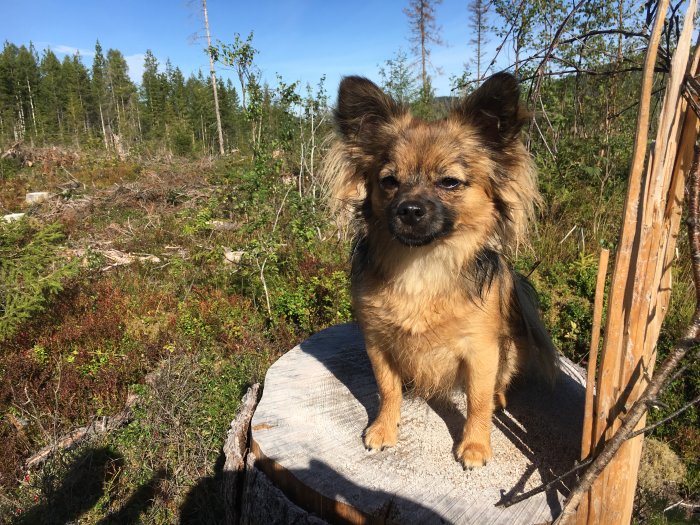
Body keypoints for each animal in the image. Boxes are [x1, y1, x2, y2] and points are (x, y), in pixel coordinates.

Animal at [322, 72, 556, 466]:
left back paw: (499, 400)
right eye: (389, 181)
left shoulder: (481, 350)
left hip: (510, 349)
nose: (409, 209)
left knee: (499, 385)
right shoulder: (378, 344)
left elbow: (477, 400)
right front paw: (384, 428)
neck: (422, 265)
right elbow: (387, 389)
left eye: (449, 182)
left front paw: (475, 444)